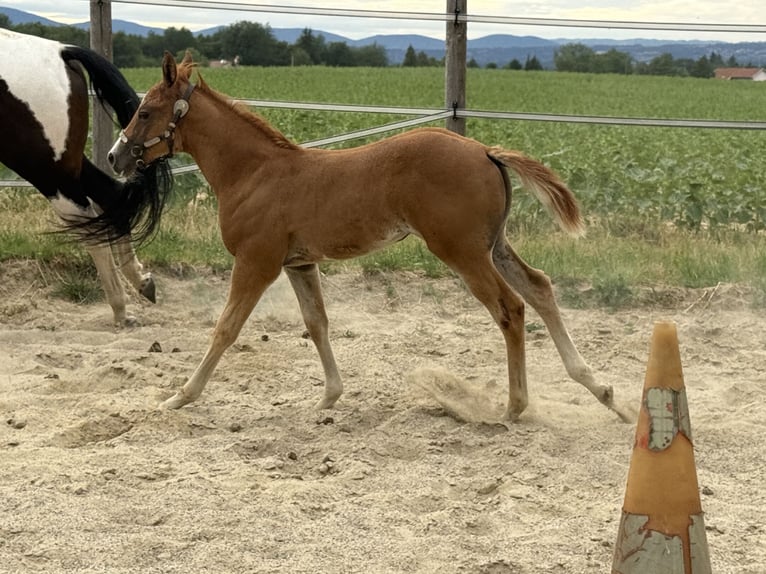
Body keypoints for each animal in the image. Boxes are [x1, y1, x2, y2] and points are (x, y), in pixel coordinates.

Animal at [0, 29, 172, 326]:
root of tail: (61, 52)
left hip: (46, 170)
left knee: (87, 224)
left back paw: (120, 308)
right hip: (68, 165)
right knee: (111, 196)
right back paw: (140, 282)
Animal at [108, 50, 630, 422]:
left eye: (147, 112)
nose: (115, 157)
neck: (255, 173)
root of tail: (484, 150)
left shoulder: (257, 262)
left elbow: (226, 328)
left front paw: (180, 396)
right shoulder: (299, 262)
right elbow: (316, 324)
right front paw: (328, 399)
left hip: (460, 250)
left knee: (510, 307)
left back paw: (514, 406)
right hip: (493, 246)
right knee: (539, 288)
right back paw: (603, 391)